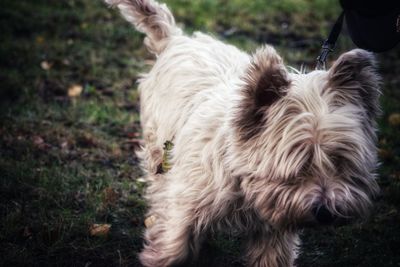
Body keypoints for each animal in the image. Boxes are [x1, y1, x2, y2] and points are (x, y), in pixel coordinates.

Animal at [104, 1, 380, 266]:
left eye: (341, 161)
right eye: (299, 165)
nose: (326, 212)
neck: (241, 176)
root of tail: (176, 39)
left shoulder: (273, 229)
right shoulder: (185, 204)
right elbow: (175, 247)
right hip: (158, 149)